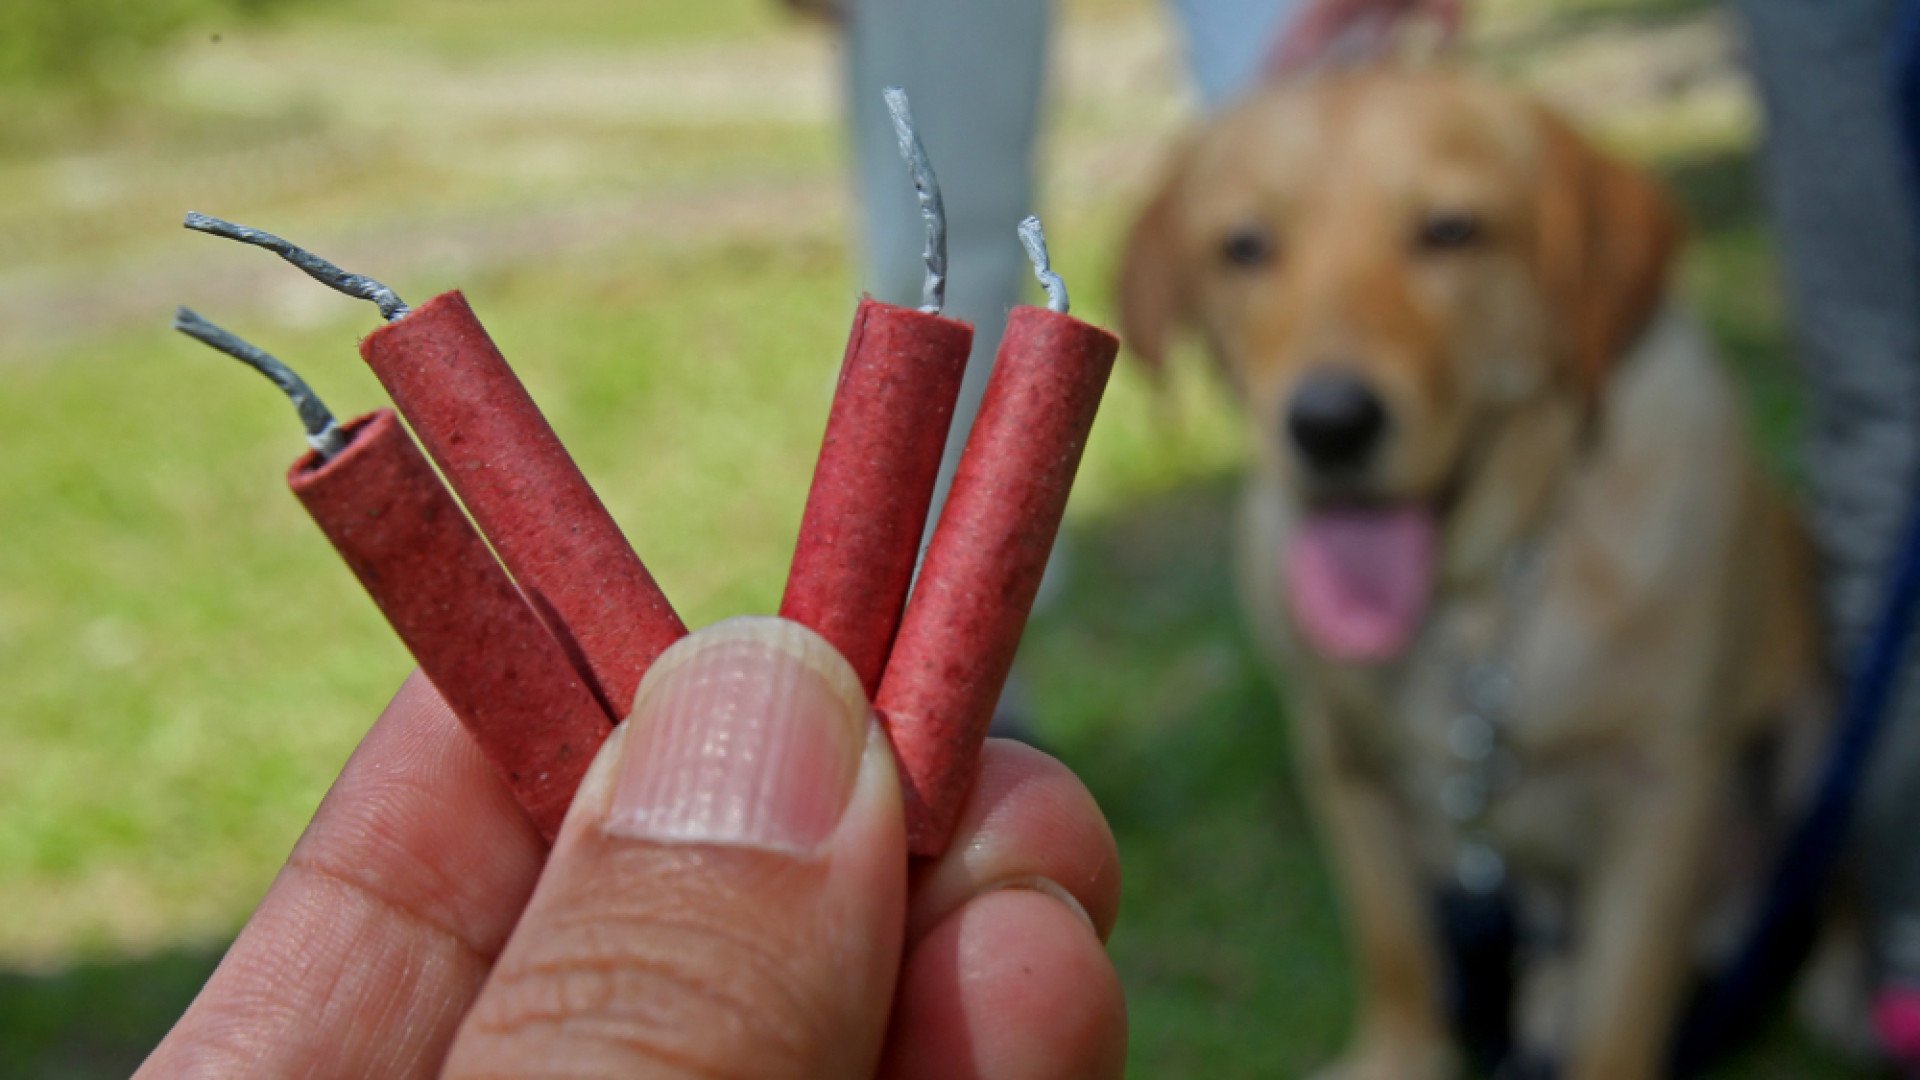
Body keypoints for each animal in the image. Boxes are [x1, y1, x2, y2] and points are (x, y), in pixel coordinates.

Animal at [1121, 69, 1827, 1076]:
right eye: (1245, 246)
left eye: (1452, 230)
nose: (1330, 424)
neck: (1472, 604)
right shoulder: (1341, 763)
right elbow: (1396, 949)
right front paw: (1401, 1054)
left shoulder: (1660, 796)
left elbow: (1622, 1014)